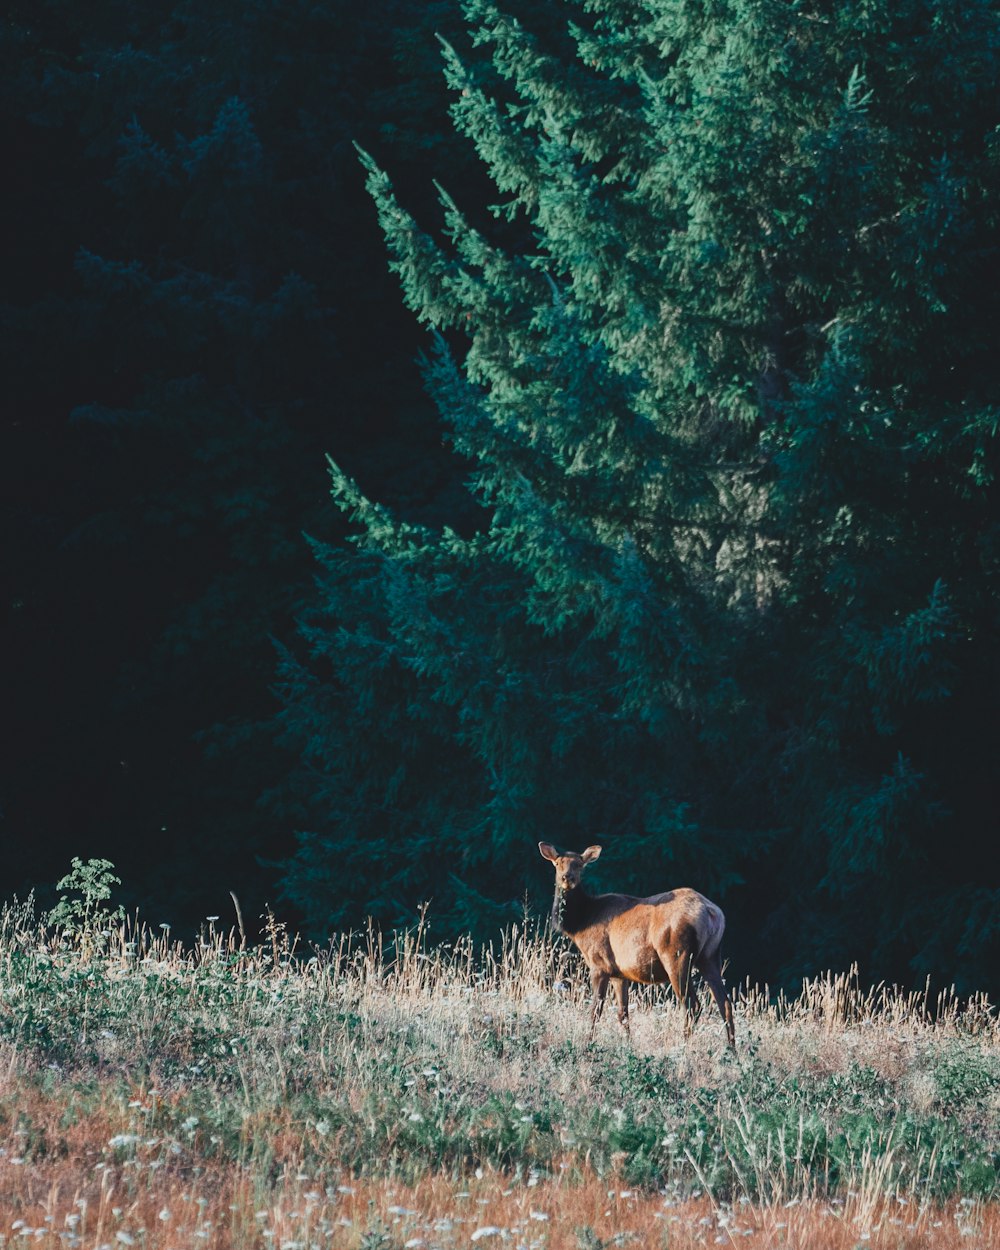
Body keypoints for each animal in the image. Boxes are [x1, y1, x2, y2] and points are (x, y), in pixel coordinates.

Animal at [540, 845, 735, 1050]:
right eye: (558, 863)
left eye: (579, 864)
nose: (567, 878)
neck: (580, 924)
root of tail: (711, 911)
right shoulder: (619, 973)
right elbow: (622, 1014)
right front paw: (628, 1045)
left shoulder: (599, 964)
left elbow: (595, 1010)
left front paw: (588, 1044)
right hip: (710, 955)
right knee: (725, 1003)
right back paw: (732, 1050)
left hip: (676, 954)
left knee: (692, 1004)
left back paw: (684, 1047)